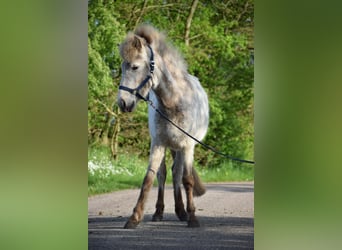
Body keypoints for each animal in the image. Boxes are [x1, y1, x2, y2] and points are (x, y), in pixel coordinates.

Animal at [117, 23, 208, 229]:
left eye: (135, 66)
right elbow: (149, 178)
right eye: (122, 67)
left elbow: (187, 180)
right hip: (169, 147)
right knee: (165, 174)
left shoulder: (187, 146)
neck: (174, 101)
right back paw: (161, 212)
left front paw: (193, 217)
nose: (123, 103)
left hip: (179, 148)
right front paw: (134, 217)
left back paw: (182, 212)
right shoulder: (158, 144)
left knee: (178, 174)